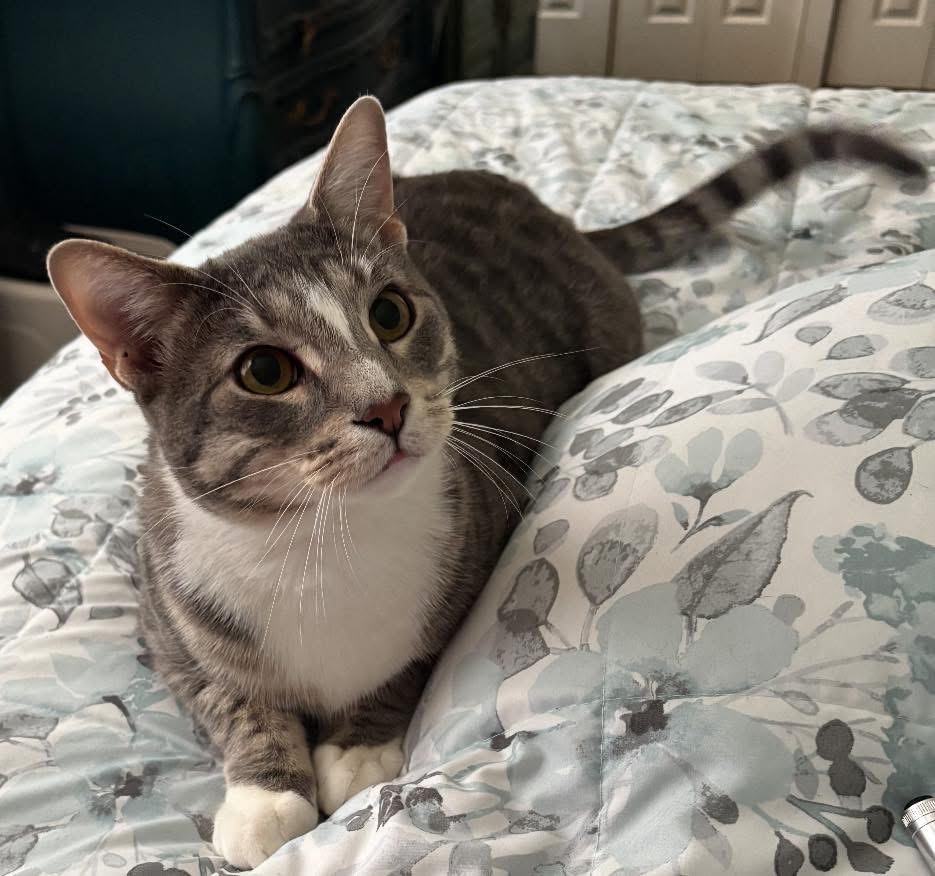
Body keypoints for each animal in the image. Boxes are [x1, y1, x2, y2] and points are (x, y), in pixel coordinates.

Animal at [46, 96, 924, 869]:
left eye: (390, 313)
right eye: (264, 371)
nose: (387, 404)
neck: (322, 542)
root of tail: (550, 212)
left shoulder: (480, 520)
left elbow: (410, 660)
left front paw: (358, 746)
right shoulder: (163, 605)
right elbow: (225, 694)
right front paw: (265, 795)